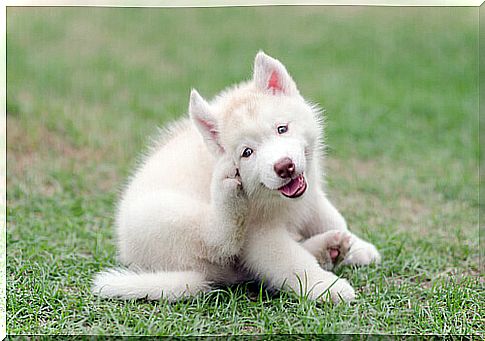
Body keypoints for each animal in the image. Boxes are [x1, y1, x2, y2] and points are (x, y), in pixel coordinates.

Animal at [92, 51, 380, 302]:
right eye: (247, 153)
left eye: (282, 129)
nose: (284, 167)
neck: (274, 199)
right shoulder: (260, 235)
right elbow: (291, 262)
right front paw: (327, 287)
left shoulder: (311, 195)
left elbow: (331, 217)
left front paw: (358, 246)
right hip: (165, 215)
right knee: (218, 241)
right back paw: (228, 196)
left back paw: (329, 248)